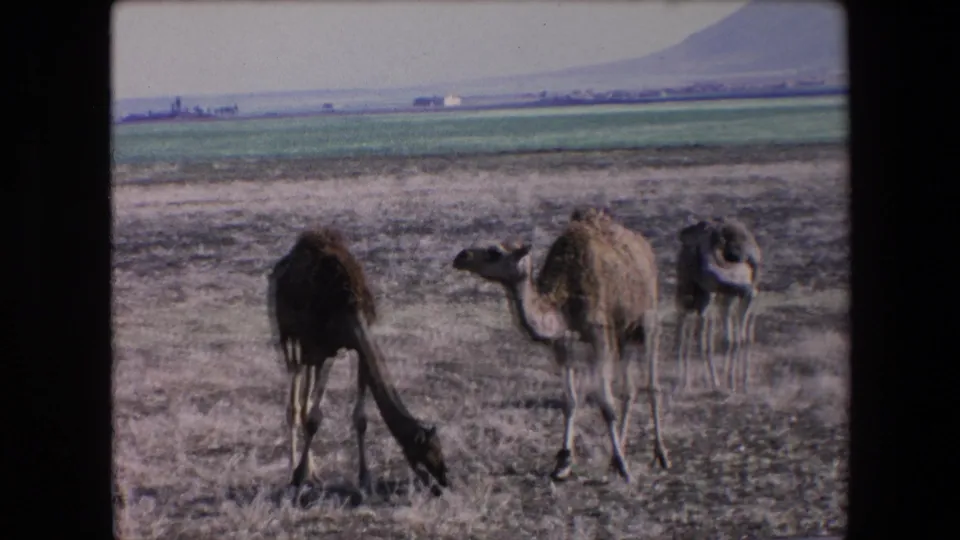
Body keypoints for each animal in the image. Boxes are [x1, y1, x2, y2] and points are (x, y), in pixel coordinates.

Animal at [267, 227, 450, 496]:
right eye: (428, 453)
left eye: (439, 448)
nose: (444, 481)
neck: (348, 309)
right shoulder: (320, 348)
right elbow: (313, 418)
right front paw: (297, 477)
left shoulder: (352, 350)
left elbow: (360, 418)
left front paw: (364, 478)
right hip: (290, 339)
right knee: (295, 403)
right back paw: (294, 469)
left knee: (303, 399)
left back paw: (314, 472)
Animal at [452, 207, 669, 483]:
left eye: (494, 251)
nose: (461, 256)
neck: (564, 300)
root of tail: (645, 246)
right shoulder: (562, 344)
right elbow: (569, 400)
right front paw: (563, 463)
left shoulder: (600, 337)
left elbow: (606, 405)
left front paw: (624, 467)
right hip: (624, 334)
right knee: (629, 390)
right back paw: (617, 453)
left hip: (648, 320)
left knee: (652, 385)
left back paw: (660, 455)